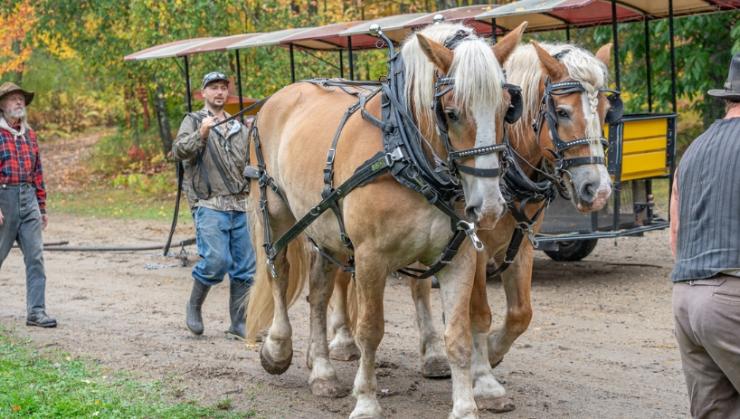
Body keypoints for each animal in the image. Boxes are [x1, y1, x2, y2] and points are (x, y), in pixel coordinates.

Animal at [332, 40, 616, 414]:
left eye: (608, 112)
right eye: (563, 112)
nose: (598, 191)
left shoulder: (520, 244)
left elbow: (521, 313)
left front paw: (492, 354)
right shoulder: (475, 245)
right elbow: (480, 313)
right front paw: (485, 378)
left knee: (418, 287)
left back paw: (432, 354)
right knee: (341, 274)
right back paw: (342, 340)